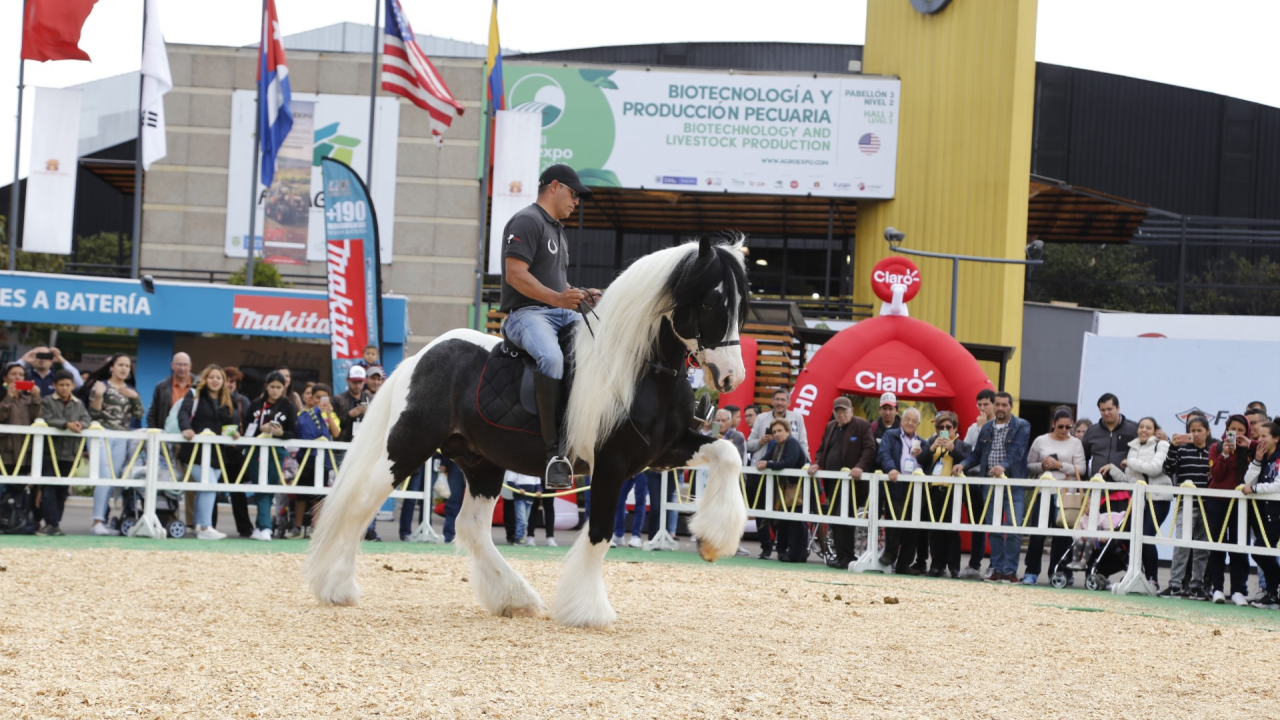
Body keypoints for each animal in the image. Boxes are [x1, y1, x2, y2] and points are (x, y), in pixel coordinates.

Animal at [303, 237, 747, 627]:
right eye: (711, 300)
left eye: (742, 304)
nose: (731, 377)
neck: (640, 369)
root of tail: (421, 358)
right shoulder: (611, 465)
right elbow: (600, 533)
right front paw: (588, 611)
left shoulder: (664, 451)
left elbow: (728, 454)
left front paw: (714, 541)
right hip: (406, 448)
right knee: (360, 505)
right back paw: (337, 587)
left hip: (481, 463)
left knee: (471, 528)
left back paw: (515, 598)